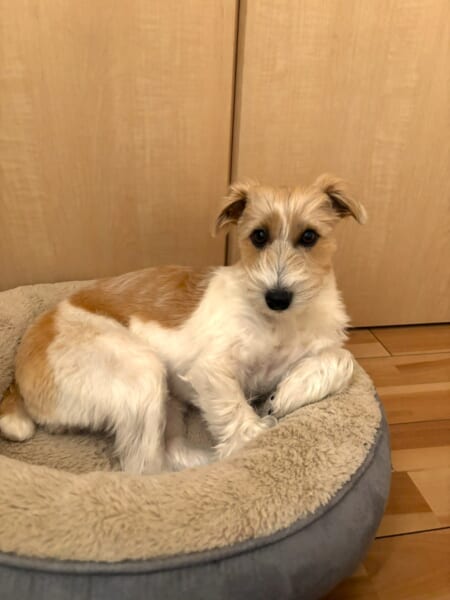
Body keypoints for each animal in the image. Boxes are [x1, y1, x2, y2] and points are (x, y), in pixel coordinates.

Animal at [0, 174, 366, 474]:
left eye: (309, 236)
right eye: (259, 236)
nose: (277, 297)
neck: (282, 322)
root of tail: (17, 378)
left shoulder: (319, 347)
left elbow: (342, 359)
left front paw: (288, 393)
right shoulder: (212, 370)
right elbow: (239, 419)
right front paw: (253, 439)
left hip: (169, 403)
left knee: (169, 451)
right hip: (140, 373)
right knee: (144, 469)